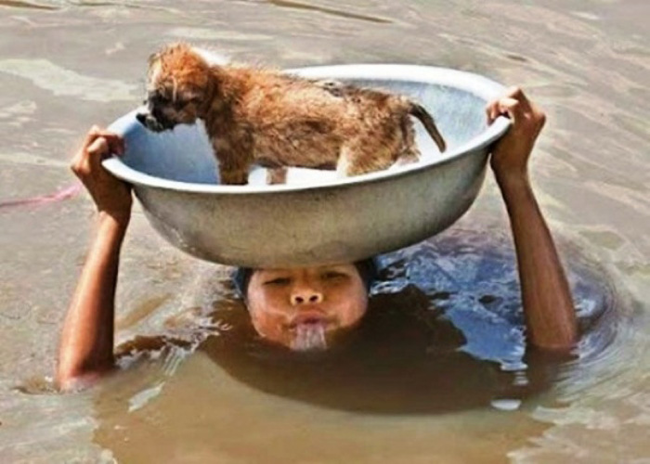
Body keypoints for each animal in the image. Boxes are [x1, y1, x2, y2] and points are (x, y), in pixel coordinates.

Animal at [134, 43, 442, 185]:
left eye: (159, 99)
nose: (140, 117)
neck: (216, 86)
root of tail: (393, 102)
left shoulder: (231, 163)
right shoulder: (276, 166)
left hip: (354, 166)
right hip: (405, 147)